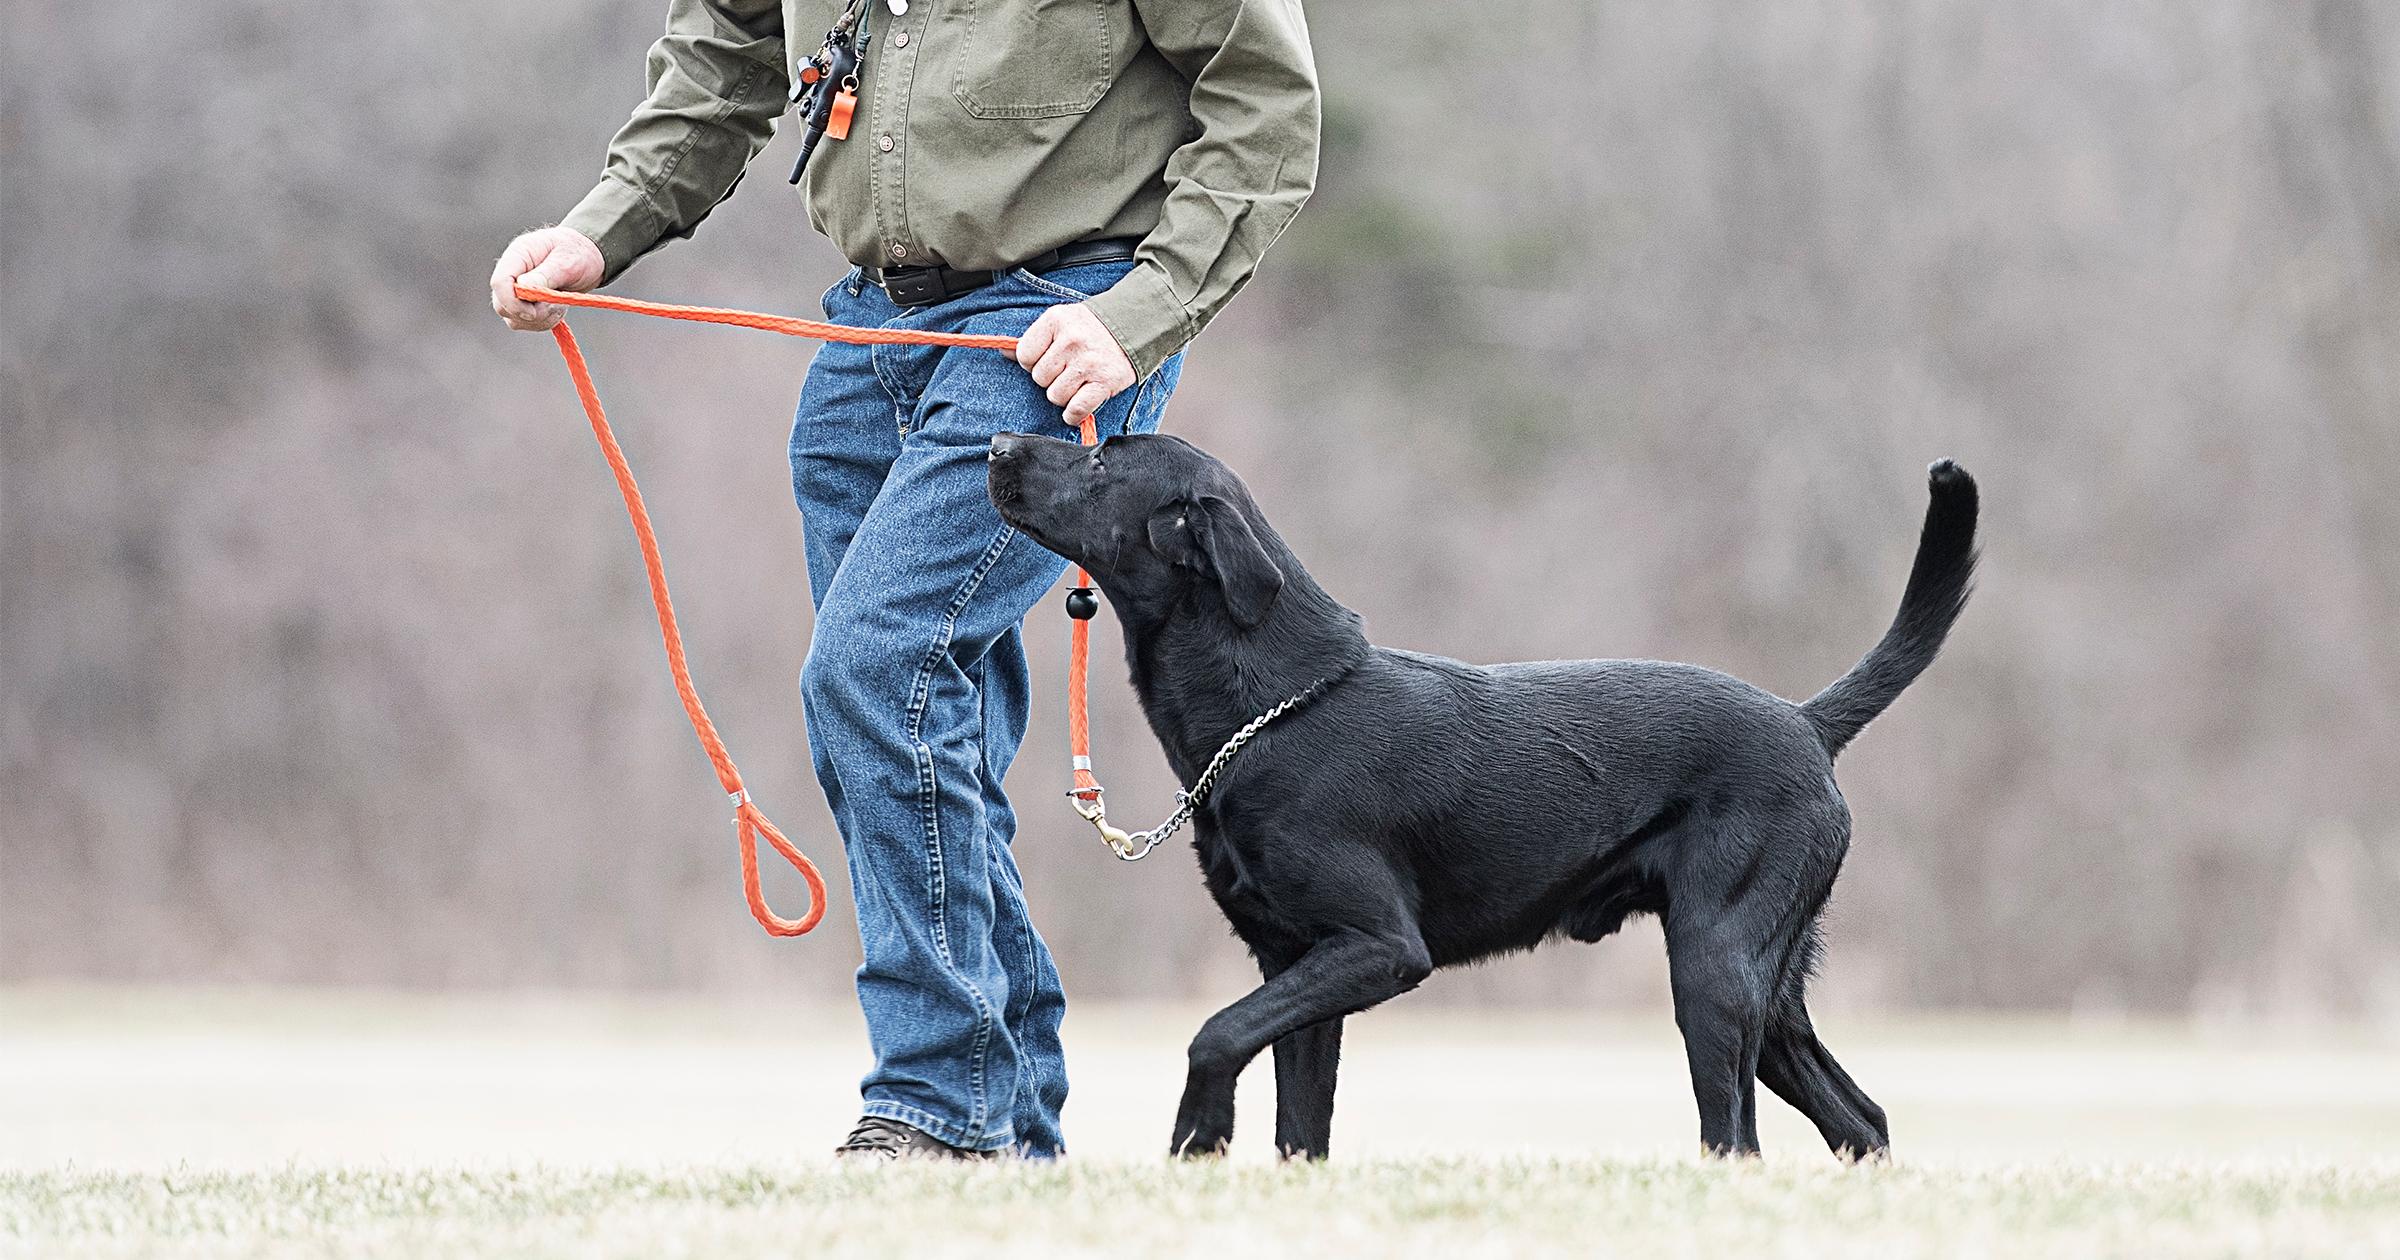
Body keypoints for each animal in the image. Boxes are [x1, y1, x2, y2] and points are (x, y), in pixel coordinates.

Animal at [984, 427, 1977, 1156]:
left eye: (1103, 460)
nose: (994, 442)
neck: (1273, 707)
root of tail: (1808, 723)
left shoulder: (1379, 948)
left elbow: (1215, 1034)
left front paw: (1200, 1134)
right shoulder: (1296, 962)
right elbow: (1299, 1126)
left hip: (1715, 969)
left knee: (1737, 1138)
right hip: (1773, 997)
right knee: (1861, 1120)